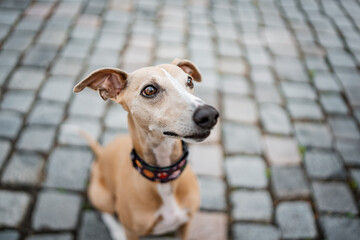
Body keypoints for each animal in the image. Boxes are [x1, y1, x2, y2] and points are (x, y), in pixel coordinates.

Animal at [73, 58, 218, 240]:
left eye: (189, 81)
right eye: (149, 90)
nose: (210, 115)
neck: (164, 177)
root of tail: (101, 152)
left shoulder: (185, 224)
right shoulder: (132, 232)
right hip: (102, 196)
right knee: (106, 213)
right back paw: (117, 231)